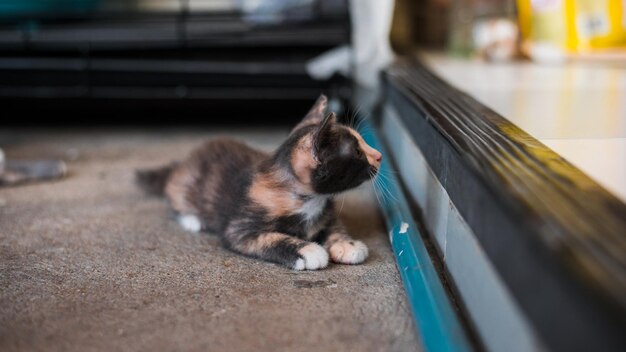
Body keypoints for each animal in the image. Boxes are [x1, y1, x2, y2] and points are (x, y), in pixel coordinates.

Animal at [135, 95, 380, 270]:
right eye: (357, 152)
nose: (379, 156)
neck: (309, 200)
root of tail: (183, 163)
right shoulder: (239, 228)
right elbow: (271, 238)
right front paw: (308, 250)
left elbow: (334, 226)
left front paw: (347, 244)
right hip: (184, 186)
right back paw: (193, 220)